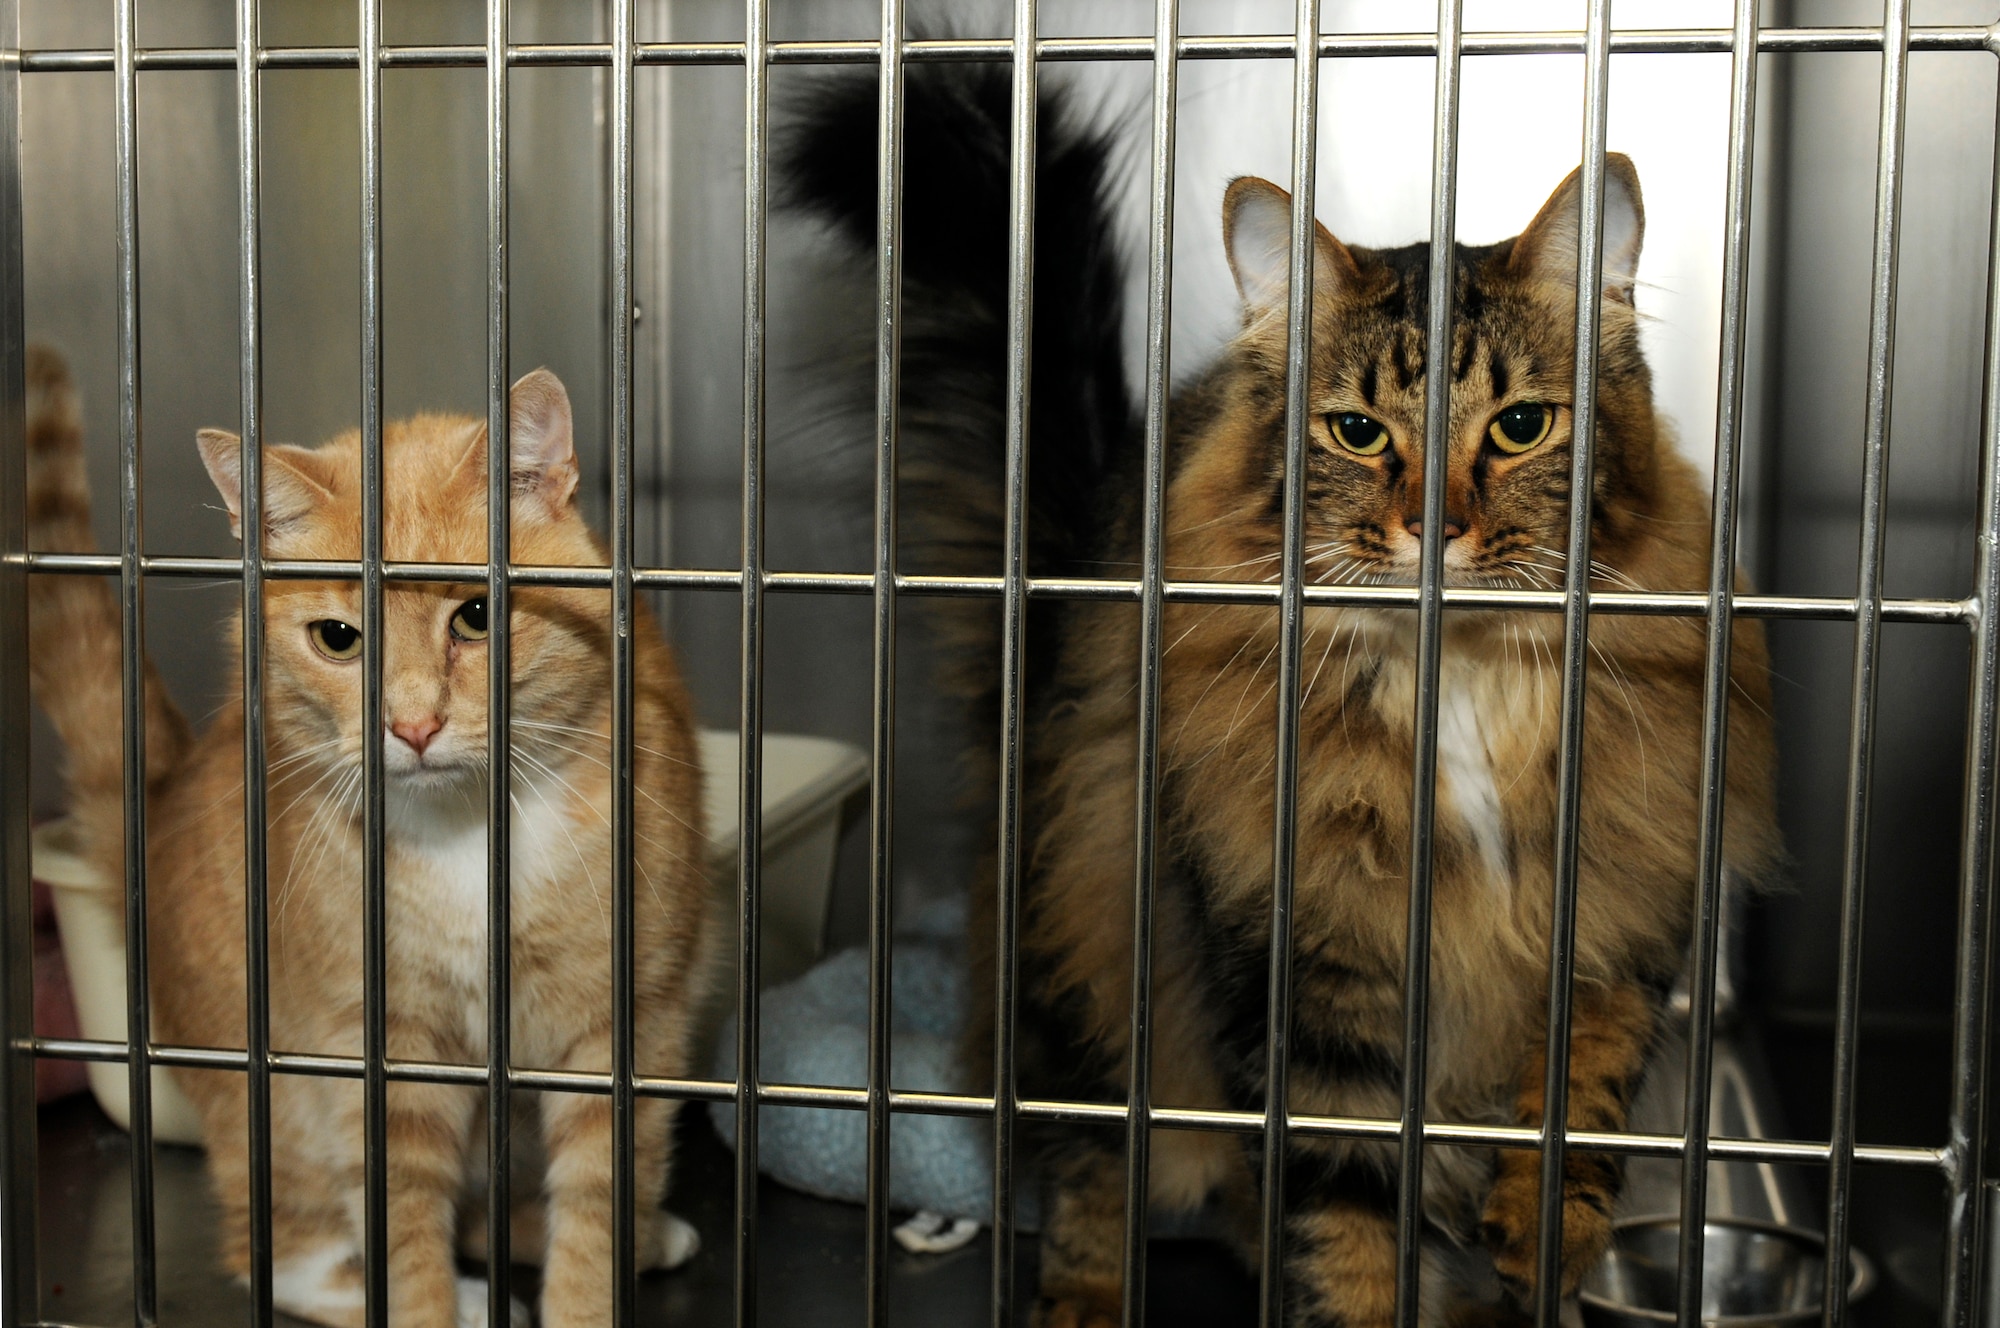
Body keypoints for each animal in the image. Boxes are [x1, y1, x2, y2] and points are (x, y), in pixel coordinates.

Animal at [27, 348, 716, 1328]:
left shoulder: (626, 1032)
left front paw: (586, 1291)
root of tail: (155, 812)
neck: (472, 834)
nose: (413, 726)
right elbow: (401, 1227)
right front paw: (435, 1307)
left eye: (476, 617)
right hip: (278, 1106)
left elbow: (598, 1202)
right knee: (283, 1250)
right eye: (338, 638)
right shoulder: (381, 1051)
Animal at [784, 72, 1784, 1328]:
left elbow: (1581, 1094)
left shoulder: (1614, 913)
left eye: (1519, 426)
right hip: (1085, 930)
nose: (1435, 526)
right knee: (1090, 1163)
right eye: (1356, 431)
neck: (1453, 677)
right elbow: (1338, 1221)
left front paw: (1539, 1239)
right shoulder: (1307, 971)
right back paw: (1085, 1295)